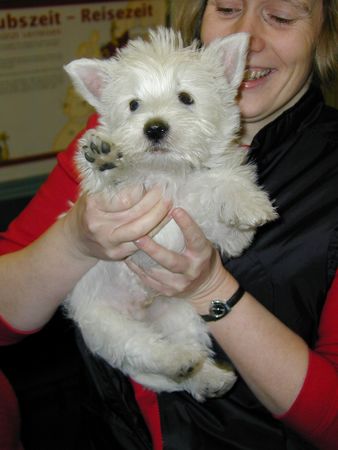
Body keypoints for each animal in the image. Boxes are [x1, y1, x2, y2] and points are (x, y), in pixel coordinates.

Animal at [64, 28, 278, 400]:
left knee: (185, 358)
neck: (170, 173)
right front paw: (105, 159)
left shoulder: (217, 235)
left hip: (183, 313)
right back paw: (179, 362)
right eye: (134, 104)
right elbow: (113, 184)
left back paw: (207, 376)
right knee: (143, 348)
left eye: (186, 98)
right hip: (104, 321)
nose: (154, 127)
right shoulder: (111, 204)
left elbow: (226, 193)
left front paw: (248, 204)